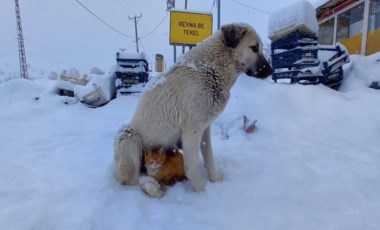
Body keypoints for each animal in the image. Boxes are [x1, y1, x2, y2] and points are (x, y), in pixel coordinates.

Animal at [114, 22, 272, 192]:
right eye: (254, 48)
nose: (271, 71)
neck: (212, 69)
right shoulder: (192, 131)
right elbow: (192, 167)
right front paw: (201, 191)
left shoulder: (204, 128)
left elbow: (209, 156)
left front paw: (214, 179)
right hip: (128, 136)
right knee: (134, 179)